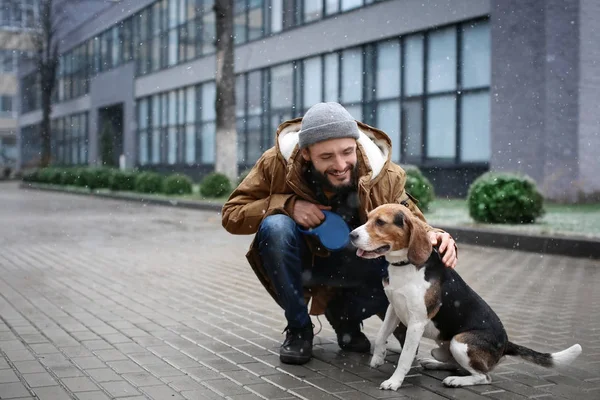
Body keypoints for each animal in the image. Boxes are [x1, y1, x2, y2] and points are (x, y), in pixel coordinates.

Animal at [352, 203, 580, 390]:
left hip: (459, 342)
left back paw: (456, 381)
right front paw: (377, 358)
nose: (352, 235)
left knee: (483, 377)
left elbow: (405, 357)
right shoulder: (394, 307)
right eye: (368, 217)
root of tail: (506, 343)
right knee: (456, 365)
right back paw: (435, 364)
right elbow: (381, 335)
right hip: (444, 348)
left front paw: (394, 382)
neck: (405, 266)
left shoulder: (416, 322)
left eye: (381, 222)